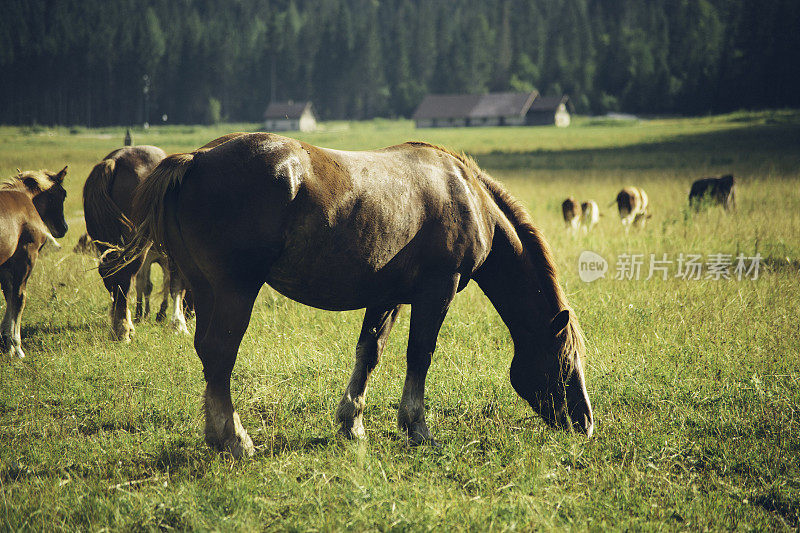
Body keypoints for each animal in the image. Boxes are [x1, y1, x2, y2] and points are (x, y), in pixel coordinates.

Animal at [0, 166, 69, 358]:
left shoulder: (5, 265)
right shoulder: (26, 257)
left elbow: (9, 296)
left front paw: (7, 344)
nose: (63, 228)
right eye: (63, 194)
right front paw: (16, 346)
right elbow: (19, 297)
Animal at [83, 143, 190, 338]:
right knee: (123, 276)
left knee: (110, 274)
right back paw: (122, 329)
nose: (191, 313)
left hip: (106, 245)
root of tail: (114, 161)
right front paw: (178, 324)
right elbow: (175, 284)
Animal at [122, 134, 592, 458]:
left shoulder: (386, 297)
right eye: (566, 360)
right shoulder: (435, 291)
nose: (586, 424)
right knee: (220, 354)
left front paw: (352, 424)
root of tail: (195, 159)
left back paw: (216, 436)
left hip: (203, 289)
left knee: (208, 354)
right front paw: (417, 428)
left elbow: (370, 353)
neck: (466, 196)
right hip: (234, 290)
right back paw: (236, 440)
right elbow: (420, 355)